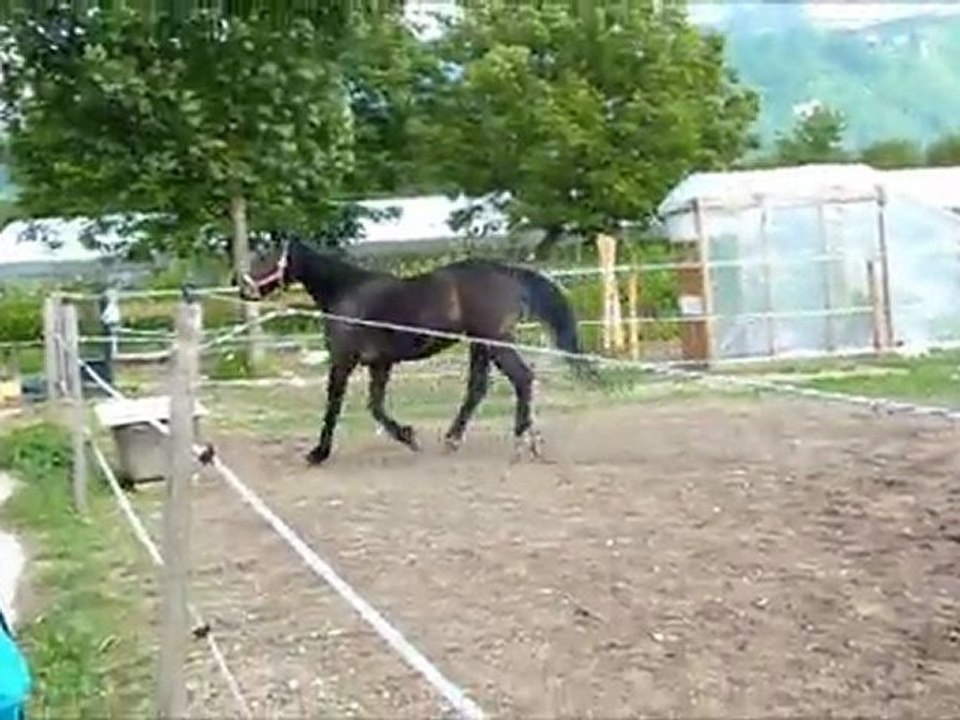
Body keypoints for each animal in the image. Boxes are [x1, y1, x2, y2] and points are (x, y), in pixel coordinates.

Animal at [239, 237, 597, 466]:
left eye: (264, 258)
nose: (242, 287)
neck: (348, 294)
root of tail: (506, 273)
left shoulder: (343, 361)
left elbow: (334, 407)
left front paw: (318, 453)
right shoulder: (380, 364)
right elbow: (376, 407)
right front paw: (408, 436)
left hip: (495, 342)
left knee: (522, 378)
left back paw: (524, 441)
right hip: (480, 344)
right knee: (478, 389)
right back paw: (455, 439)